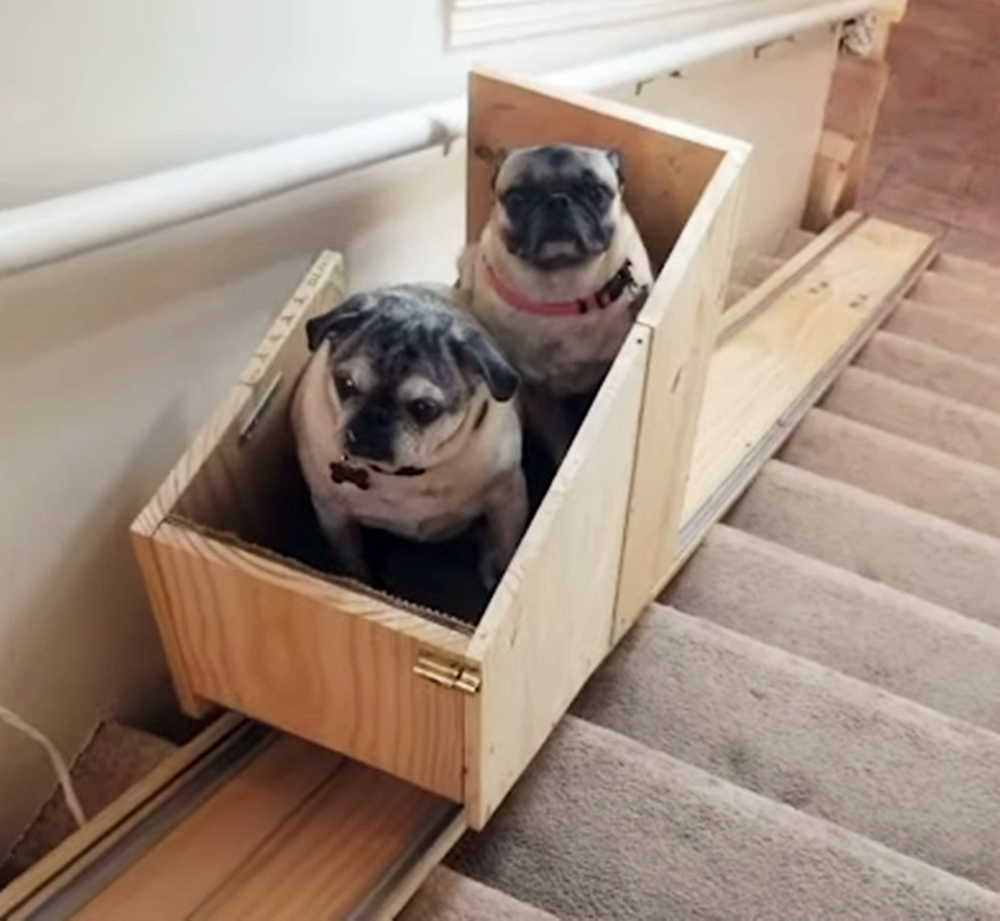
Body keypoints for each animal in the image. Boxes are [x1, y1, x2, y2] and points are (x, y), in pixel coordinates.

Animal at [291, 283, 529, 590]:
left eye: (425, 408)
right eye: (346, 384)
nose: (375, 416)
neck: (402, 476)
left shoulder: (507, 500)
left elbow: (507, 549)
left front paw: (499, 572)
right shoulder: (334, 515)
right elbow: (352, 563)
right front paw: (361, 583)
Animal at [458, 144, 653, 463]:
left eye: (596, 192)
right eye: (517, 198)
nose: (557, 200)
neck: (562, 293)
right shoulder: (541, 397)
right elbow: (560, 442)